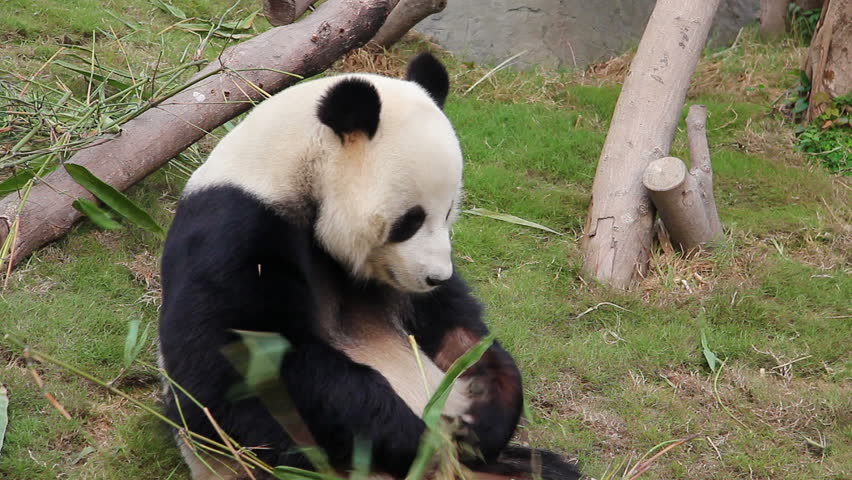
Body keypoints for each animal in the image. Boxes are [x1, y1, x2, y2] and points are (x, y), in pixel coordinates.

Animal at [158, 53, 581, 480]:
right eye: (410, 220)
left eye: (448, 213)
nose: (435, 277)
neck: (288, 169)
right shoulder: (236, 229)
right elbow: (230, 365)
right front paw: (416, 439)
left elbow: (457, 330)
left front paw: (484, 416)